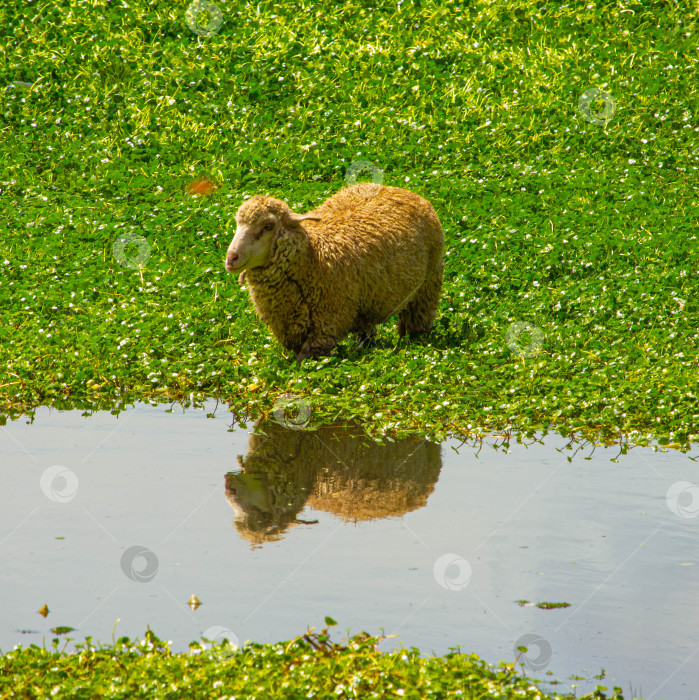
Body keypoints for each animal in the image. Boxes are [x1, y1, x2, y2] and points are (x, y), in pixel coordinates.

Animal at [224, 183, 442, 364]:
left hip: (427, 287)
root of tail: (401, 190)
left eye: (268, 226)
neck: (313, 258)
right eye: (237, 223)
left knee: (417, 324)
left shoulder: (325, 330)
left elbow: (301, 365)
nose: (231, 258)